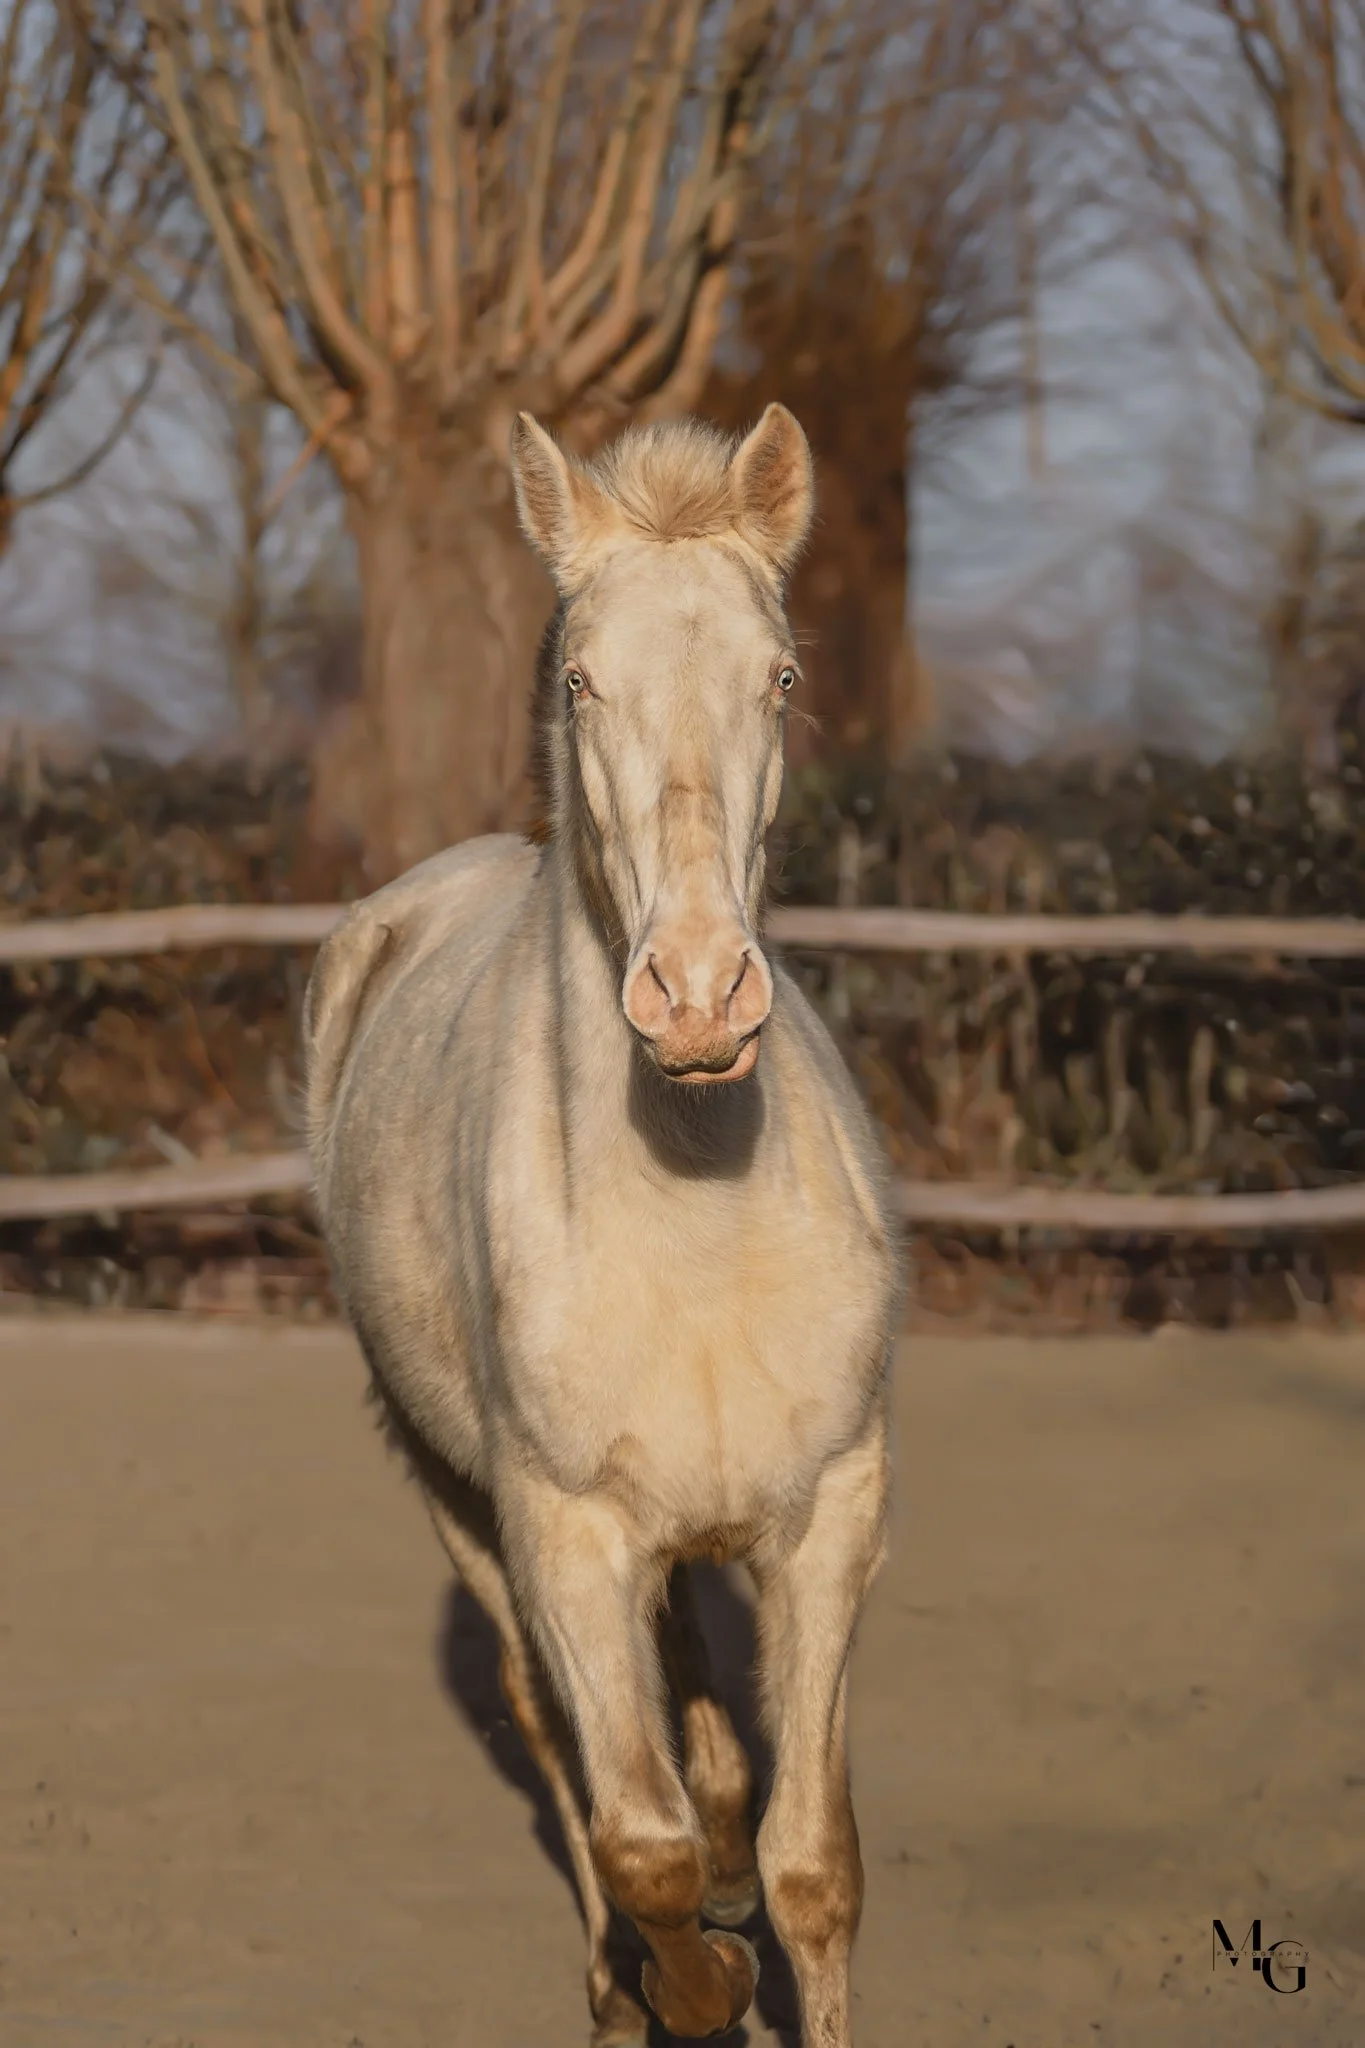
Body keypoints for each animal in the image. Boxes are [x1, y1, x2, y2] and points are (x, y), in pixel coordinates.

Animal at [303, 402, 902, 2046]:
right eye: (581, 680)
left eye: (779, 675)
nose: (695, 996)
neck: (696, 1221)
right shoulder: (566, 1532)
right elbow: (637, 1841)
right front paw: (695, 1980)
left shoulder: (828, 1514)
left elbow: (811, 1864)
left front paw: (750, 1911)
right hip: (463, 1502)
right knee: (562, 1741)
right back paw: (621, 1975)